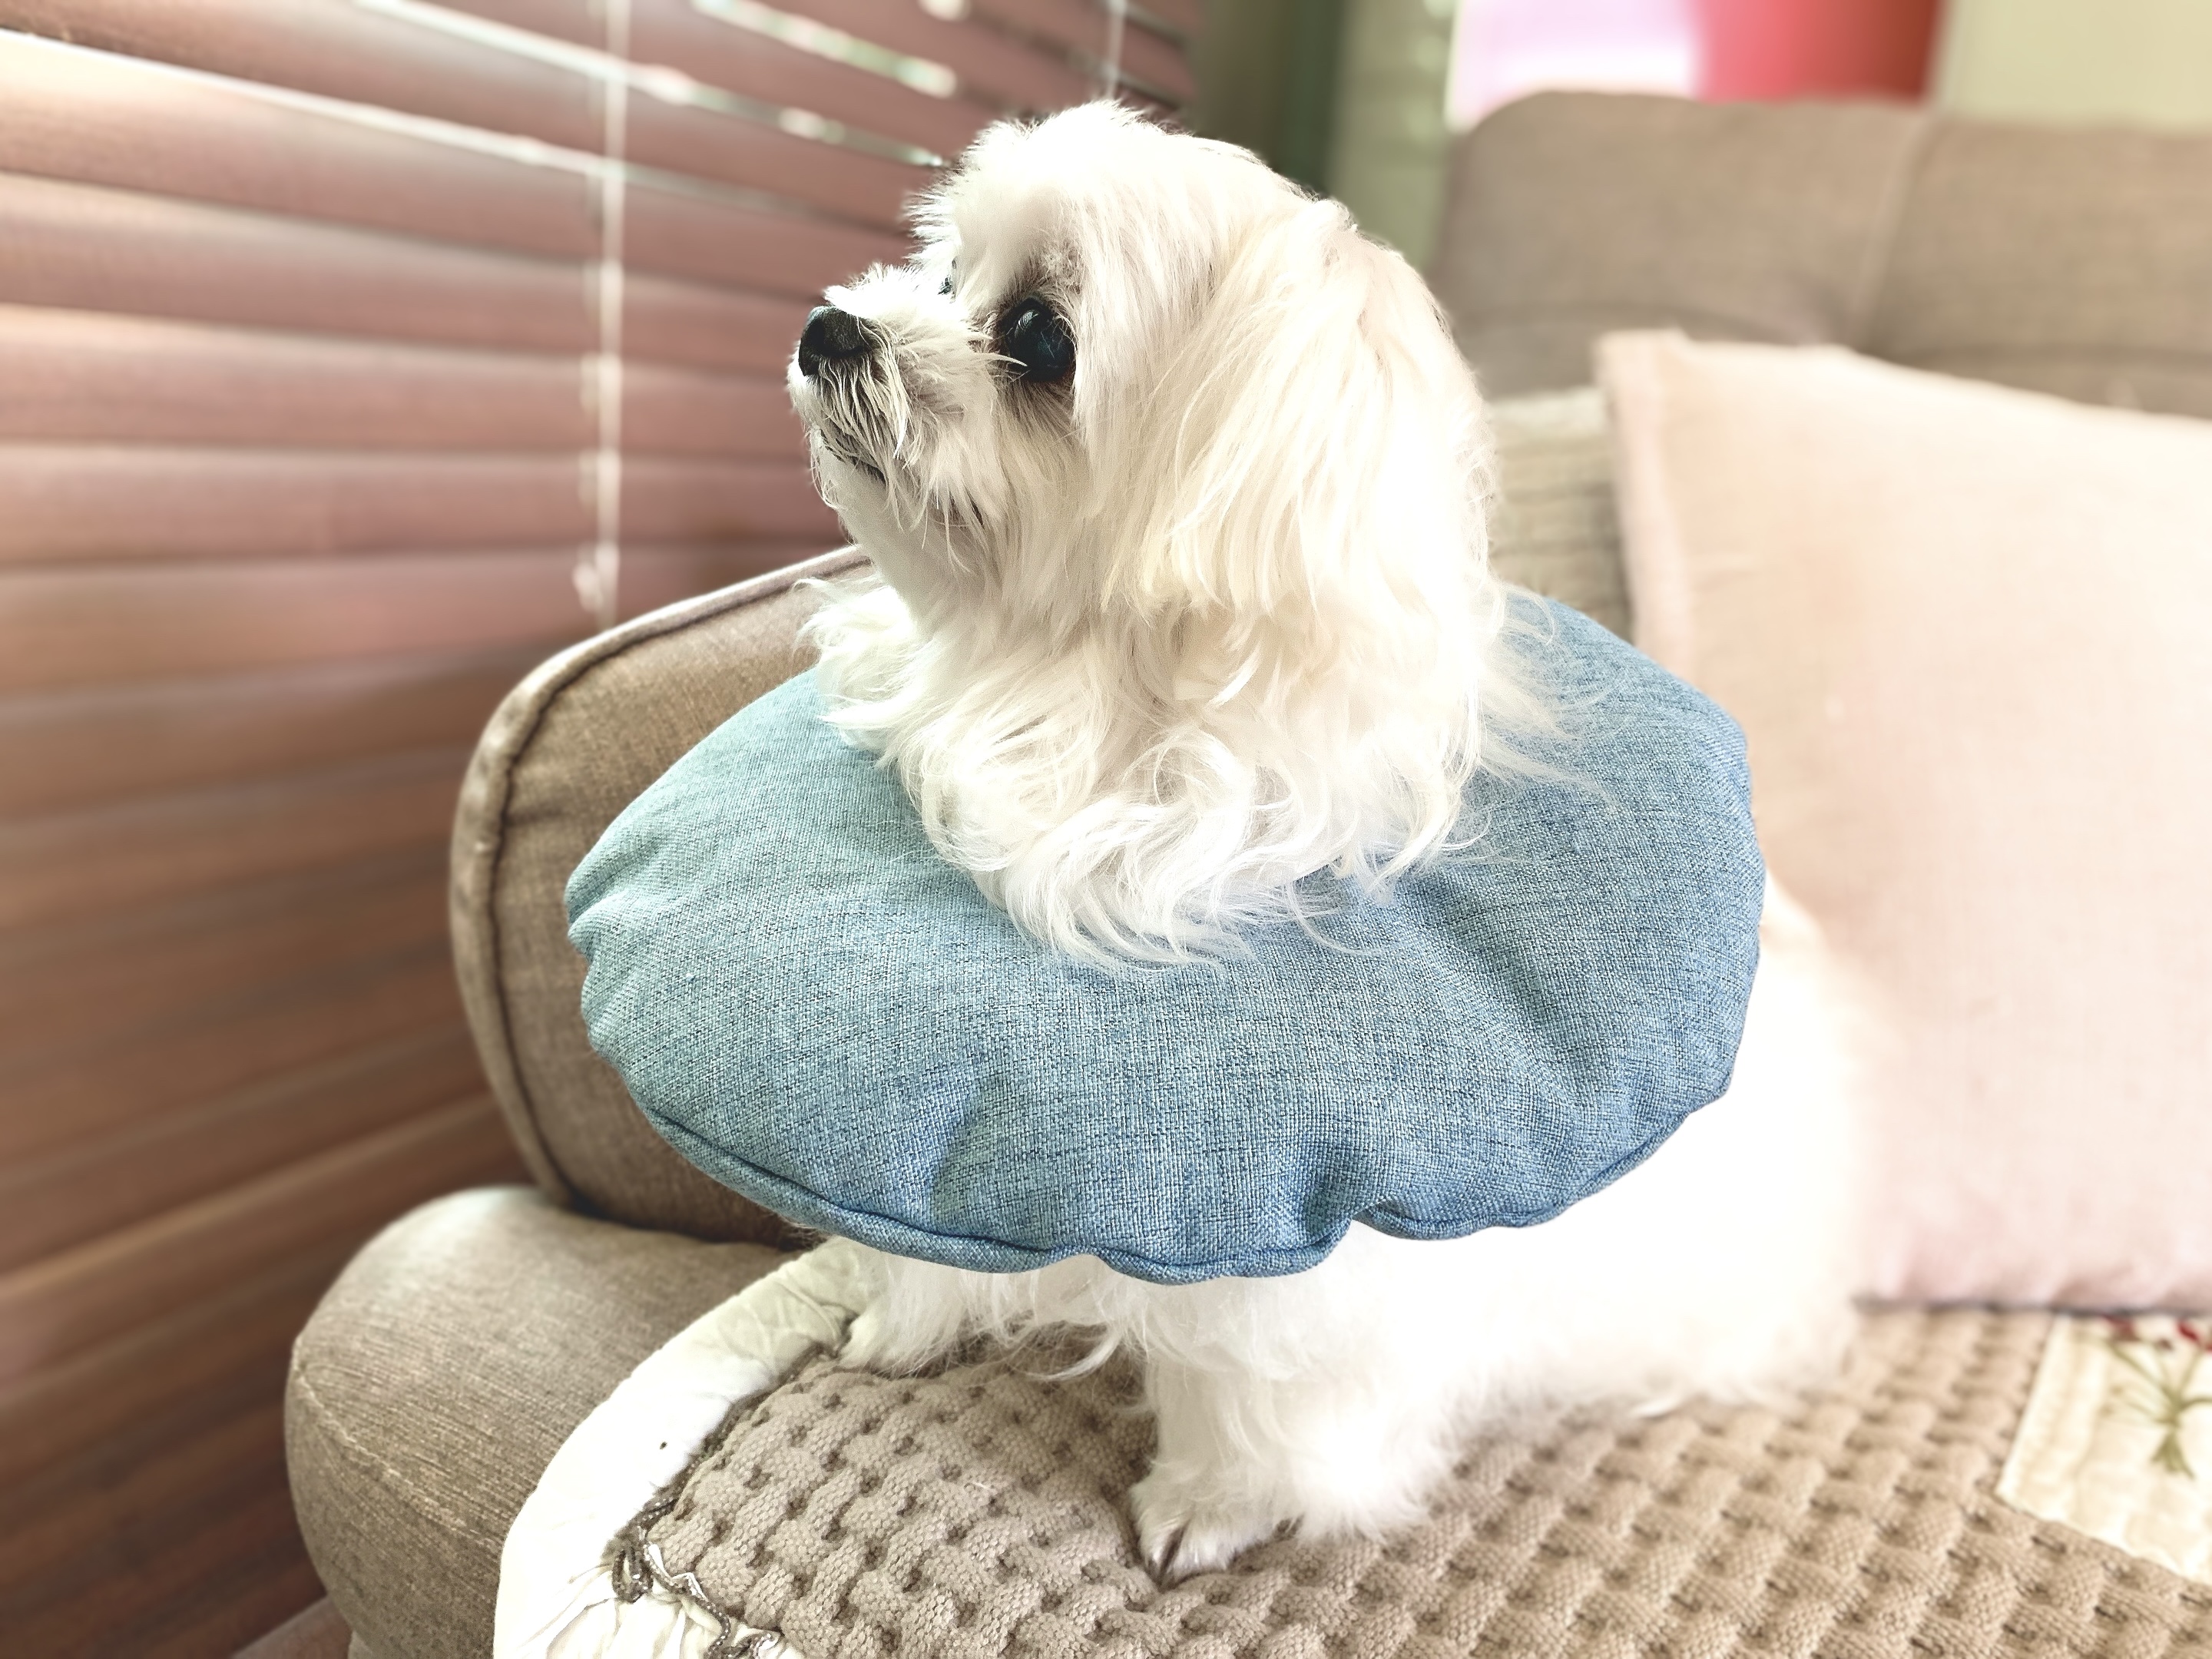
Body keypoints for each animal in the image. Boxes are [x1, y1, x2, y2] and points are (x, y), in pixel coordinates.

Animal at [786, 101, 1858, 1579]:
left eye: (1042, 337)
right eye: (945, 275)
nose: (832, 325)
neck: (1083, 716)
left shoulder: (1323, 1278)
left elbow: (1264, 1398)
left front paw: (1210, 1505)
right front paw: (904, 1325)